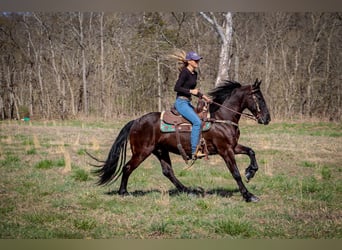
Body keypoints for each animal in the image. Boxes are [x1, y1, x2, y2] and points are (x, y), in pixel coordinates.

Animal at [90, 79, 270, 202]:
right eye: (260, 98)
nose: (267, 119)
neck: (221, 118)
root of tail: (136, 121)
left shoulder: (233, 146)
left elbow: (251, 151)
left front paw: (250, 171)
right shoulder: (225, 150)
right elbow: (235, 173)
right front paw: (248, 195)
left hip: (160, 151)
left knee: (168, 172)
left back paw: (188, 190)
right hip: (142, 152)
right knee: (128, 167)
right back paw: (123, 192)